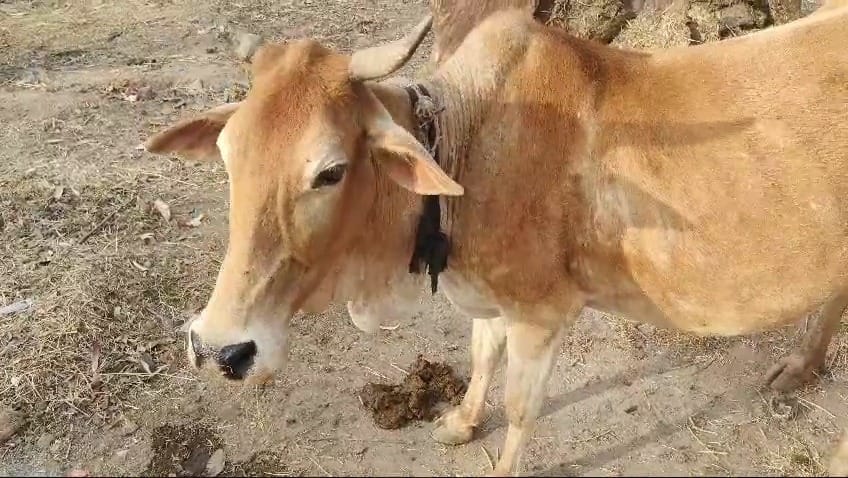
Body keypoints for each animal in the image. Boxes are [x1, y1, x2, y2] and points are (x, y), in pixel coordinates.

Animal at [143, 3, 848, 475]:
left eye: (330, 171)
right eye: (228, 153)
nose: (219, 350)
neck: (468, 148)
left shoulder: (543, 312)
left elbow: (520, 406)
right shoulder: (489, 300)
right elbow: (482, 357)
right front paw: (459, 421)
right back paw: (801, 366)